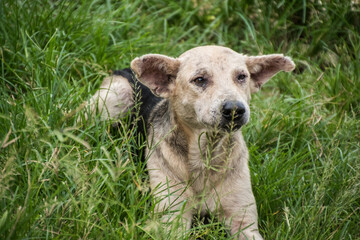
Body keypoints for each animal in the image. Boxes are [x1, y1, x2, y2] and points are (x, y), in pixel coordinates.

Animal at [84, 46, 296, 239]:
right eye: (200, 80)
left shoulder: (243, 222)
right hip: (111, 101)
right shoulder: (173, 218)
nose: (235, 109)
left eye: (242, 77)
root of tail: (127, 69)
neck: (205, 155)